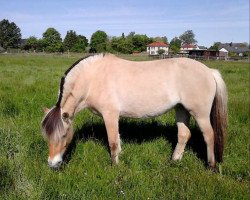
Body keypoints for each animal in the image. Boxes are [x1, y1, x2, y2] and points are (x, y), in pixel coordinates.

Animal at [42, 54, 228, 171]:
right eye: (47, 136)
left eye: (64, 135)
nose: (52, 163)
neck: (94, 78)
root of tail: (209, 71)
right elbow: (117, 139)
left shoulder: (110, 115)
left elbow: (112, 142)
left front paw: (115, 167)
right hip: (181, 109)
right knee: (183, 134)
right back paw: (174, 161)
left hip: (200, 113)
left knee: (209, 135)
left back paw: (211, 166)